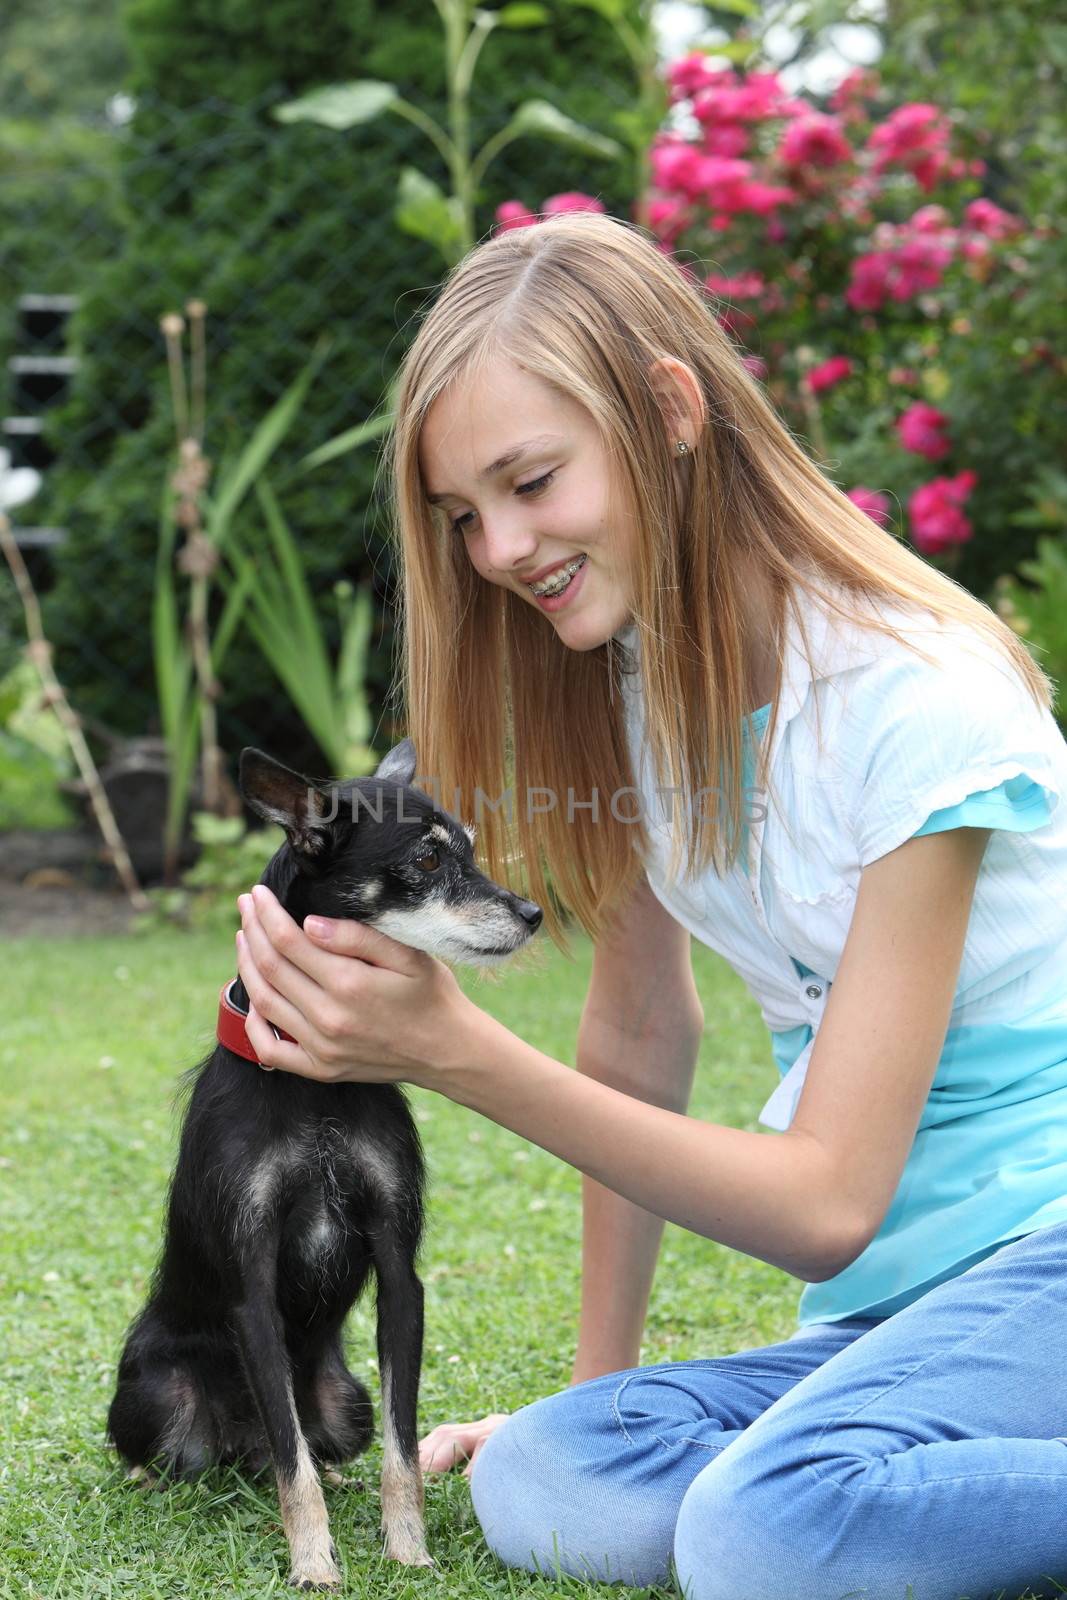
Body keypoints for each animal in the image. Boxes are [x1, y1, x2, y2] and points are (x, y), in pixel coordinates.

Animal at [106, 739, 543, 1587]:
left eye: (470, 850)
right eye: (427, 858)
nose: (532, 913)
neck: (317, 1087)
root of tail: (231, 1448)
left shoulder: (400, 1279)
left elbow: (400, 1453)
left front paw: (406, 1548)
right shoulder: (252, 1294)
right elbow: (290, 1464)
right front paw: (313, 1562)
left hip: (346, 1402)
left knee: (316, 1442)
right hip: (156, 1392)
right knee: (213, 1453)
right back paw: (156, 1475)